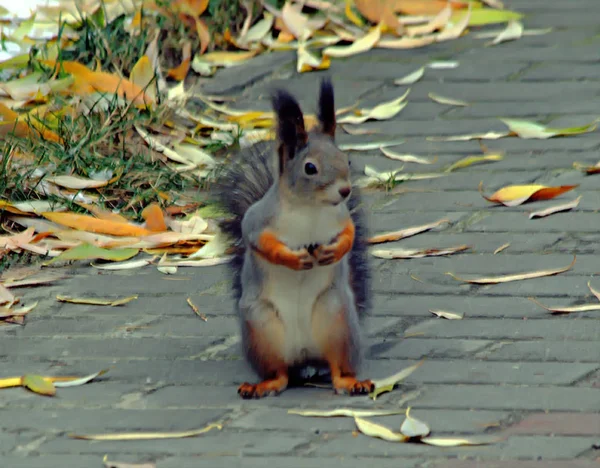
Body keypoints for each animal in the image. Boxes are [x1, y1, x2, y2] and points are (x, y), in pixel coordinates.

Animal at [210, 77, 370, 398]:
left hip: (337, 320)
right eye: (310, 168)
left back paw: (350, 381)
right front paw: (292, 259)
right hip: (262, 330)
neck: (310, 209)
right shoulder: (257, 221)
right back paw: (264, 385)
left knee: (336, 366)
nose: (345, 191)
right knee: (280, 374)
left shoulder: (341, 217)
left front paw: (335, 251)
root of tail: (304, 356)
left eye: (346, 159)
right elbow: (262, 243)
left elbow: (349, 234)